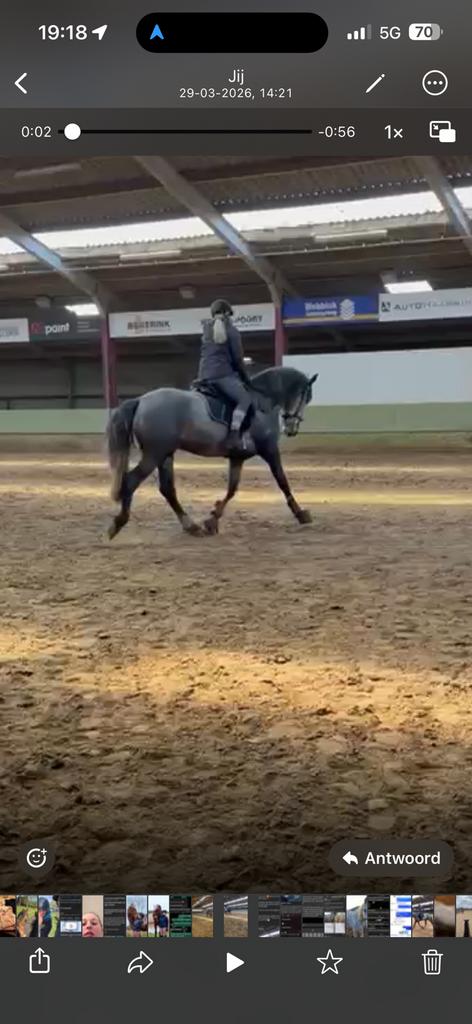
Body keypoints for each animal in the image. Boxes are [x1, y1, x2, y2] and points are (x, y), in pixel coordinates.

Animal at [106, 366, 318, 540]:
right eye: (305, 397)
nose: (291, 428)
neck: (262, 401)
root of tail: (141, 400)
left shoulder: (237, 457)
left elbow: (232, 489)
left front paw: (212, 520)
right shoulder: (269, 450)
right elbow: (282, 481)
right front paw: (301, 514)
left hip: (165, 454)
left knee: (167, 489)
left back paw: (191, 526)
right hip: (154, 453)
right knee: (131, 481)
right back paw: (117, 524)